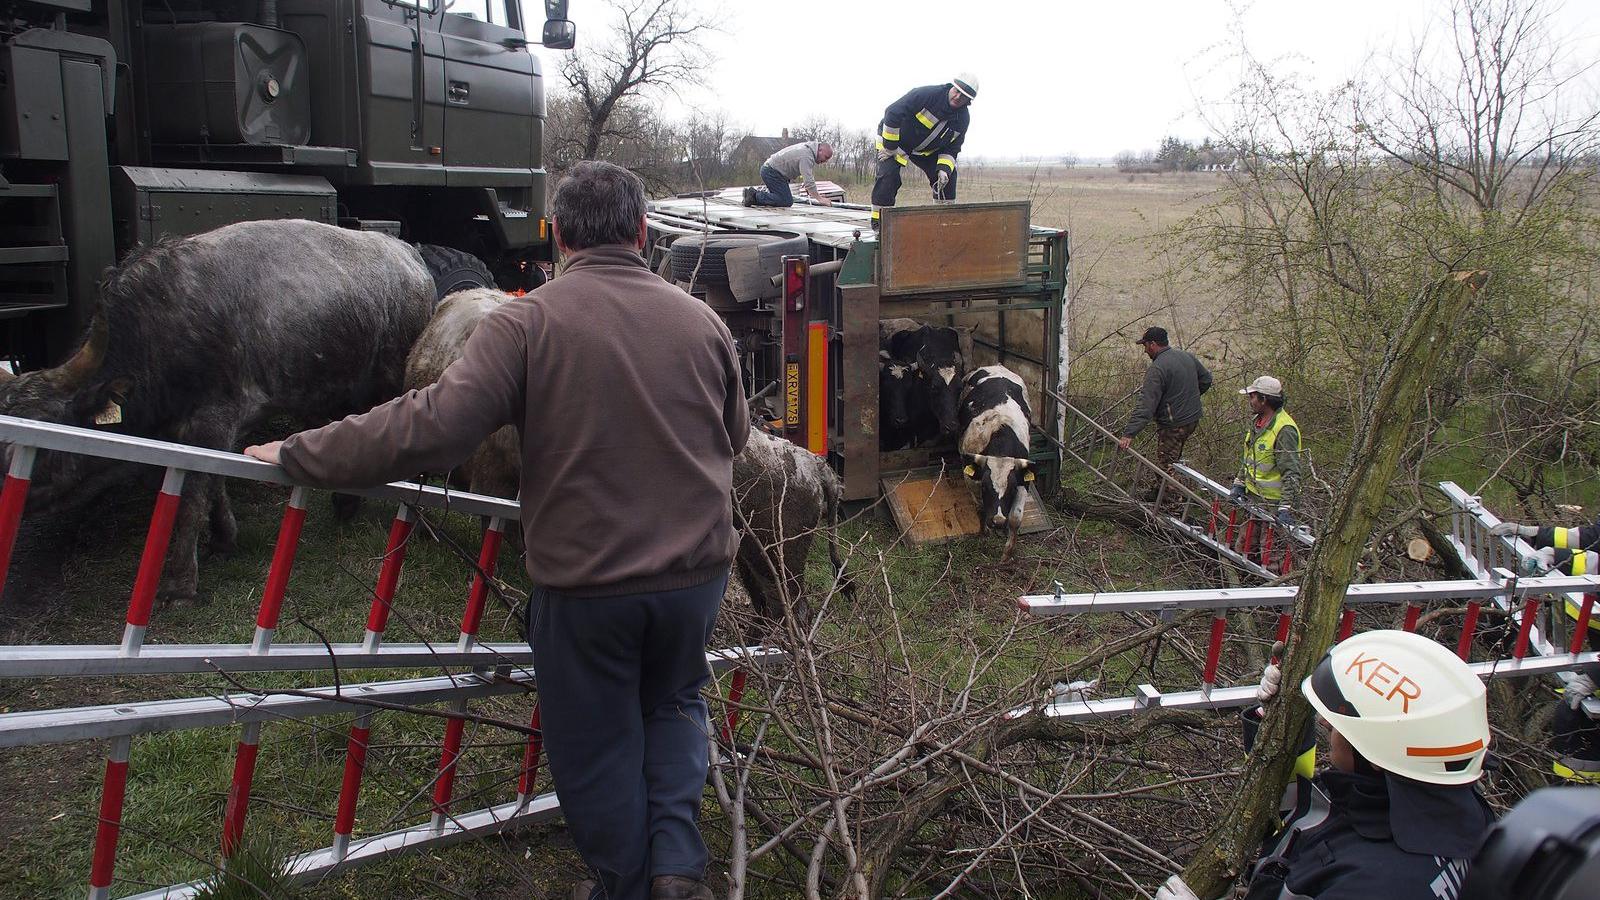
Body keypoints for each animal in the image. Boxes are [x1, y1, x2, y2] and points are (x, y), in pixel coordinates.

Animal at [953, 361, 1030, 554]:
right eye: (986, 487)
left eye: (1011, 489)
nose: (998, 521)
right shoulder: (971, 477)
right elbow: (980, 507)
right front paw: (984, 533)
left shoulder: (1023, 478)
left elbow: (1015, 518)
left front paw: (1007, 554)